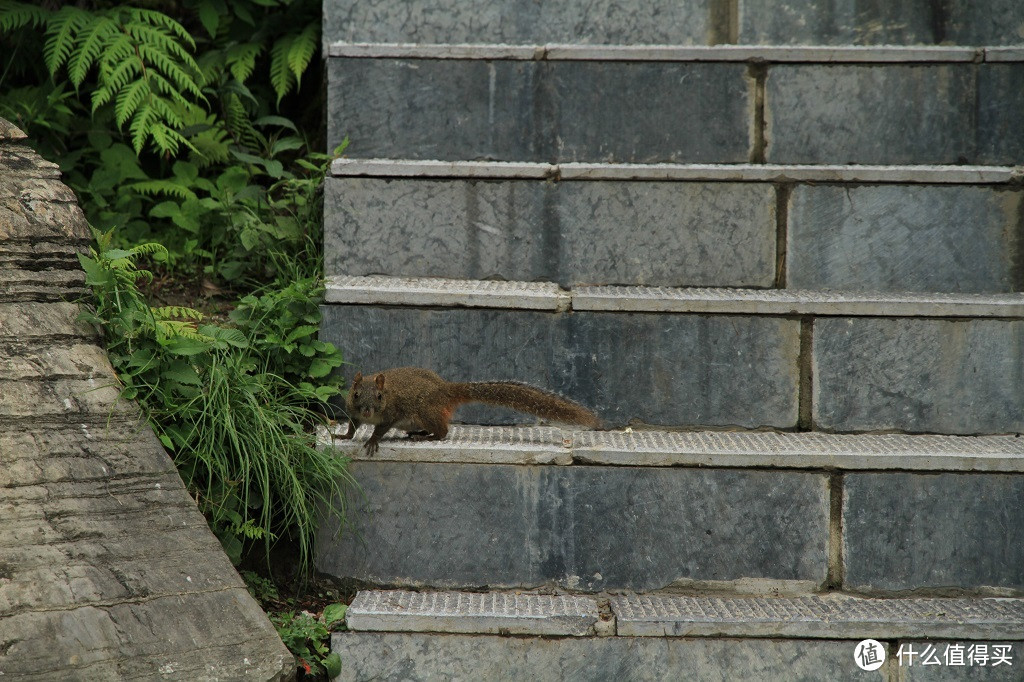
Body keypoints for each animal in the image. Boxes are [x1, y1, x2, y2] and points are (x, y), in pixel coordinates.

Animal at [344, 364, 598, 454]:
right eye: (356, 394)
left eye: (379, 396)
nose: (367, 412)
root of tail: (444, 389)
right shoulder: (353, 412)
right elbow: (352, 426)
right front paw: (344, 436)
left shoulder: (391, 413)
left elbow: (380, 429)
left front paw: (373, 440)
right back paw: (419, 433)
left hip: (425, 412)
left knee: (443, 432)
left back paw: (425, 437)